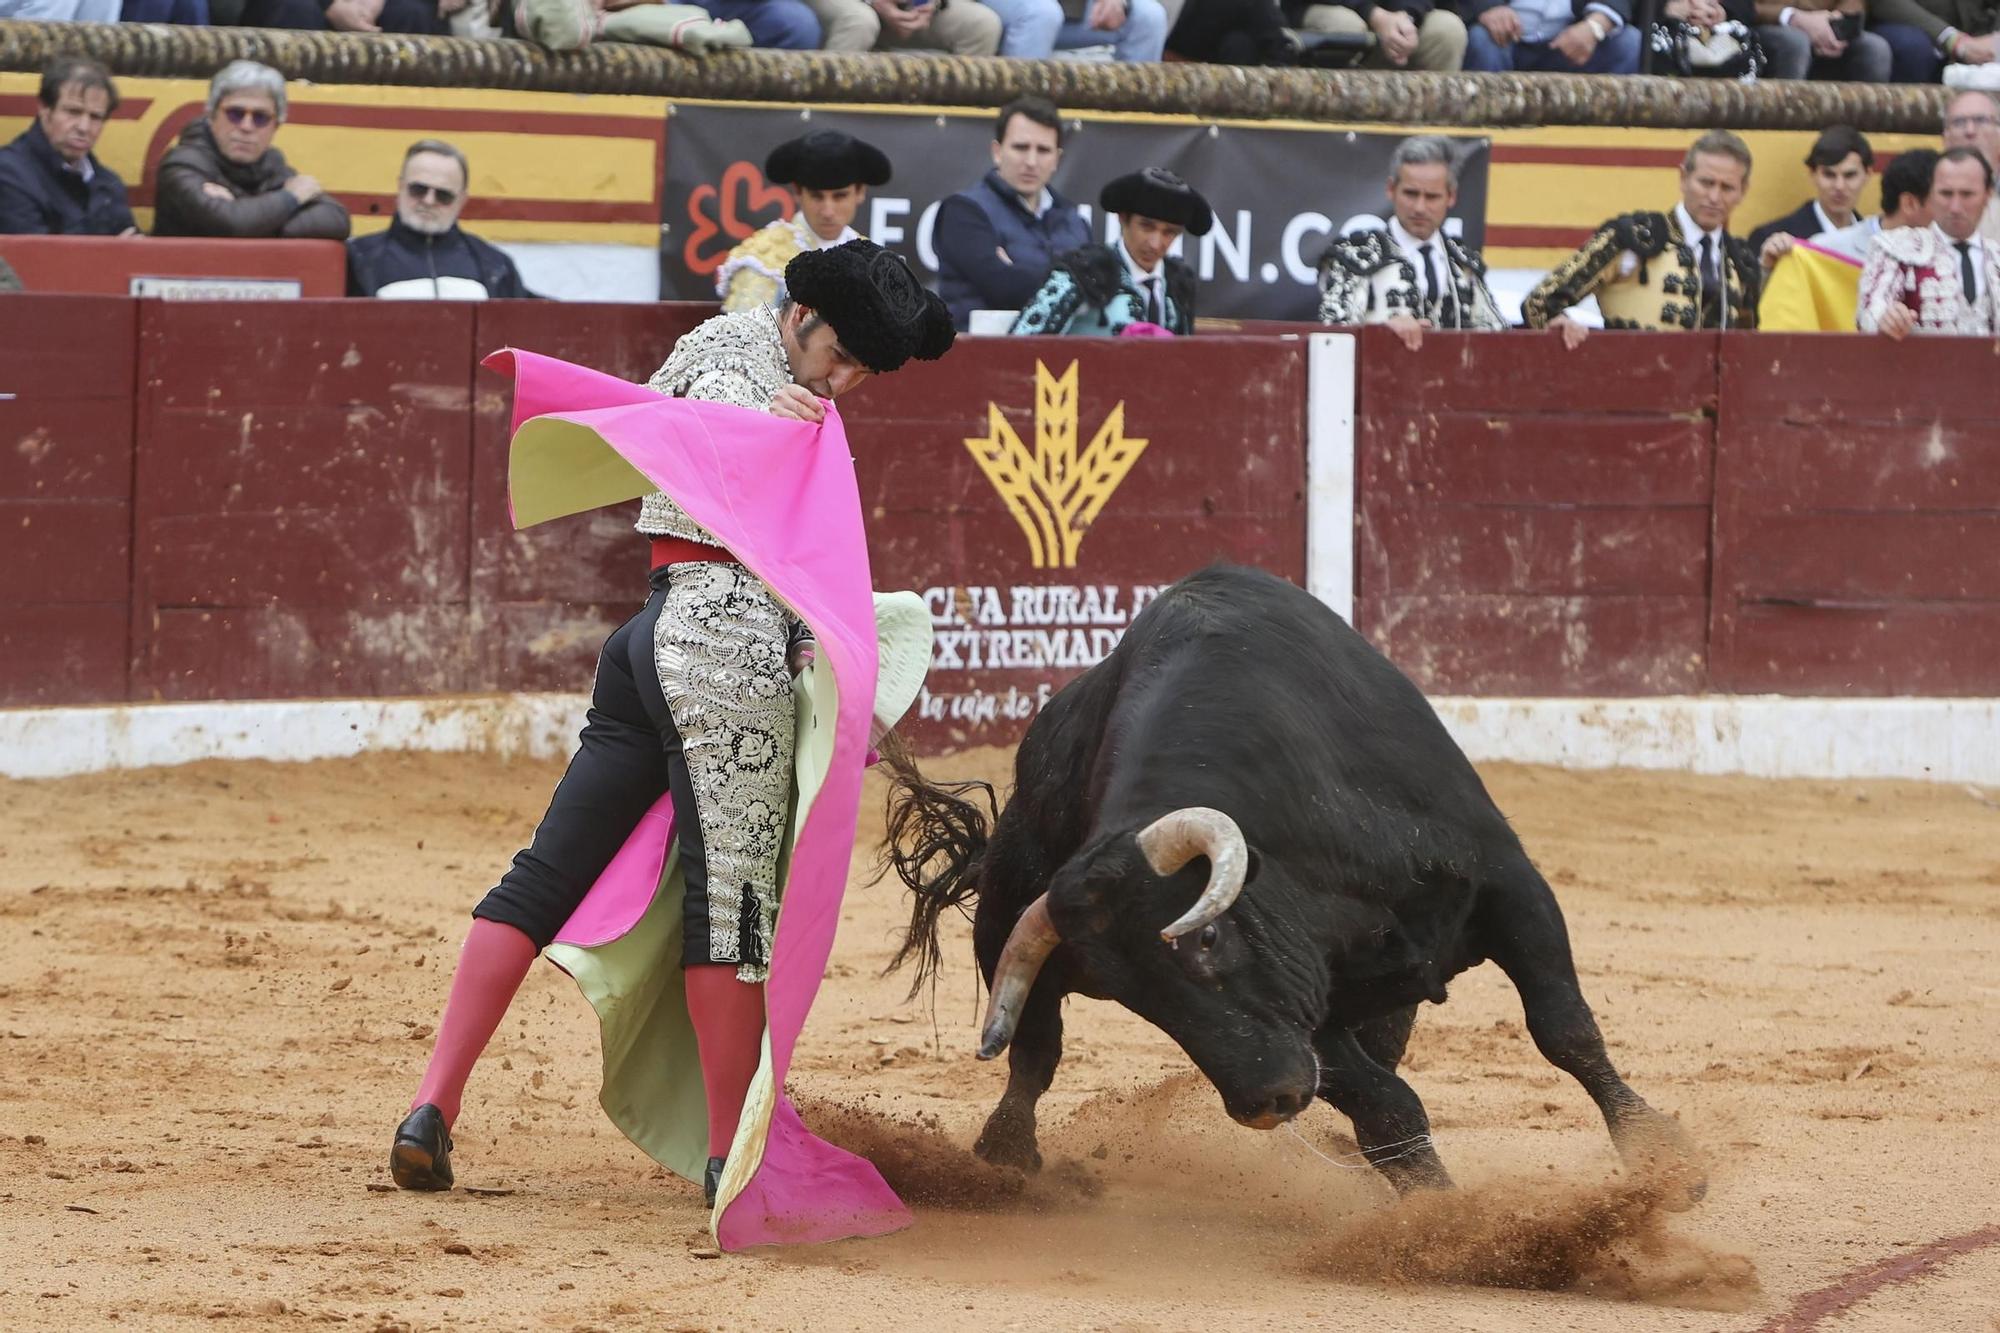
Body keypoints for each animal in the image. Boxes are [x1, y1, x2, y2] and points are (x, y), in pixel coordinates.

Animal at [884, 564, 1696, 1184]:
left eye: (1207, 939)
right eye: (1132, 996)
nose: (1264, 1101)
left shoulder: (1509, 882)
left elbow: (1565, 1028)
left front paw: (1663, 1161)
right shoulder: (1306, 1005)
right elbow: (1386, 1105)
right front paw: (1446, 1222)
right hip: (1006, 925)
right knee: (1034, 1051)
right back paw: (1005, 1156)